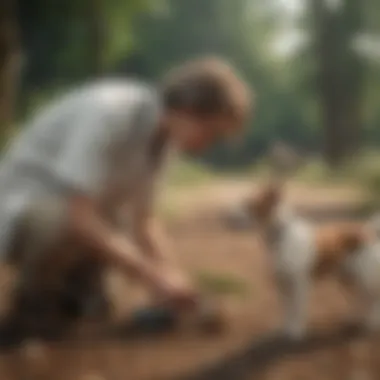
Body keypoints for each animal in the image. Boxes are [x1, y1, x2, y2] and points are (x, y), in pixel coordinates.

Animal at [233, 180, 380, 338]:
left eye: (250, 204)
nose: (229, 216)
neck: (281, 235)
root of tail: (368, 232)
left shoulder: (299, 284)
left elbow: (297, 309)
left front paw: (296, 331)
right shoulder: (282, 284)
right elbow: (287, 309)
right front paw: (287, 328)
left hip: (363, 277)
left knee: (371, 298)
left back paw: (372, 323)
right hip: (347, 276)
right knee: (357, 298)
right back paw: (352, 318)